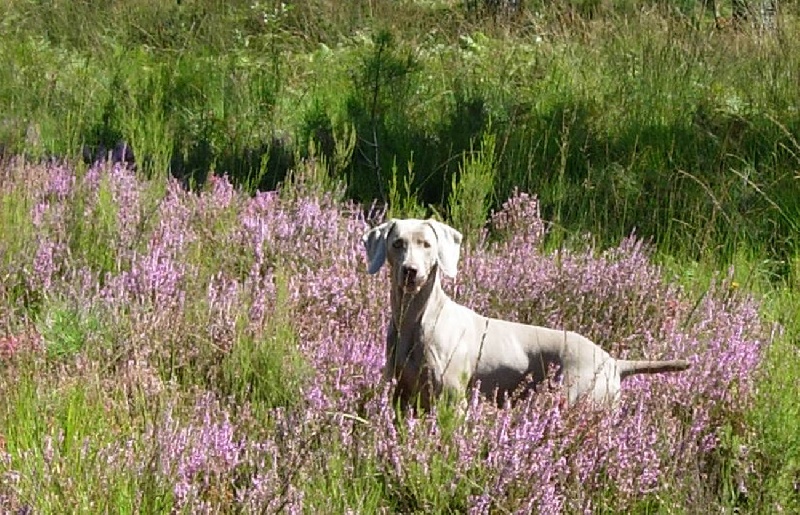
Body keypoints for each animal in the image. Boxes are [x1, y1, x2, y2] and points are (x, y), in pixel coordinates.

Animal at [366, 218, 692, 412]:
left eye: (427, 244)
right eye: (397, 243)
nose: (410, 271)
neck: (417, 319)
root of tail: (612, 361)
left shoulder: (452, 399)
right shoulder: (401, 394)